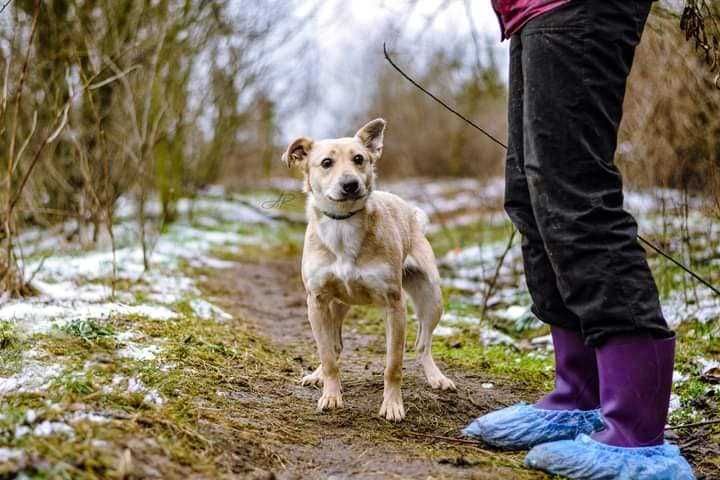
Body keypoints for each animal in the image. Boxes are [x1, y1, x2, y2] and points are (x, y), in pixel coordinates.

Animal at [282, 117, 456, 420]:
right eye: (326, 163)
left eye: (359, 159)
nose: (350, 184)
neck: (342, 225)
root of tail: (409, 211)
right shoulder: (316, 301)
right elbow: (328, 356)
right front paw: (331, 395)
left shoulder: (394, 306)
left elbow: (393, 364)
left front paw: (393, 405)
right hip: (335, 305)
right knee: (334, 345)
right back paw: (317, 375)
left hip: (431, 299)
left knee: (423, 344)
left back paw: (436, 377)